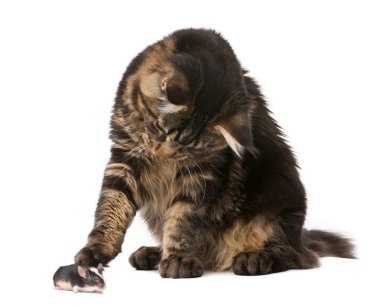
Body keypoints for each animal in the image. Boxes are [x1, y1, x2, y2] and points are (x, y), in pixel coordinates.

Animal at [73, 28, 354, 278]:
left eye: (189, 148)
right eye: (160, 130)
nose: (165, 154)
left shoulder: (201, 173)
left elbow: (181, 219)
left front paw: (178, 260)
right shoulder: (124, 158)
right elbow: (111, 208)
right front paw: (96, 250)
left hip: (281, 206)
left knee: (291, 255)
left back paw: (254, 257)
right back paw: (152, 253)